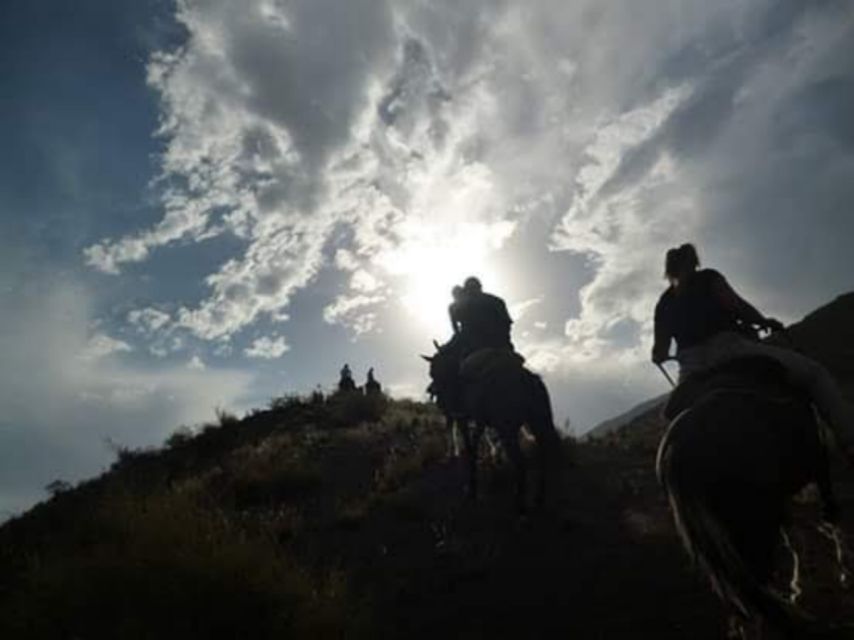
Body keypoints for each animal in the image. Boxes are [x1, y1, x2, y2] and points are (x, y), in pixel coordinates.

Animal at [422, 342, 560, 512]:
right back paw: (539, 498)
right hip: (538, 422)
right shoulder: (479, 422)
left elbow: (470, 448)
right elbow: (476, 446)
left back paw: (520, 503)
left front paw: (472, 489)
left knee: (521, 462)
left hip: (508, 429)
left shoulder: (462, 418)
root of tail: (526, 380)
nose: (431, 391)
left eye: (433, 369)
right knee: (544, 455)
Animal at [656, 358, 848, 636]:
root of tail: (677, 449)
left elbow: (794, 538)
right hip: (753, 522)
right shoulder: (818, 466)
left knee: (743, 603)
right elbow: (829, 517)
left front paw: (798, 588)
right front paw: (842, 572)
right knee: (757, 590)